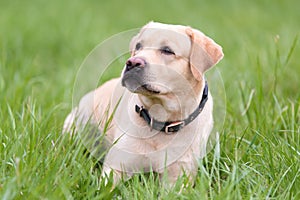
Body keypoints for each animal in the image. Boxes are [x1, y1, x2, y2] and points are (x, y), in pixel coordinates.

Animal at [63, 21, 223, 186]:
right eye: (139, 46)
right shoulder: (116, 165)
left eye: (167, 51)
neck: (161, 118)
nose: (133, 62)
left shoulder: (179, 175)